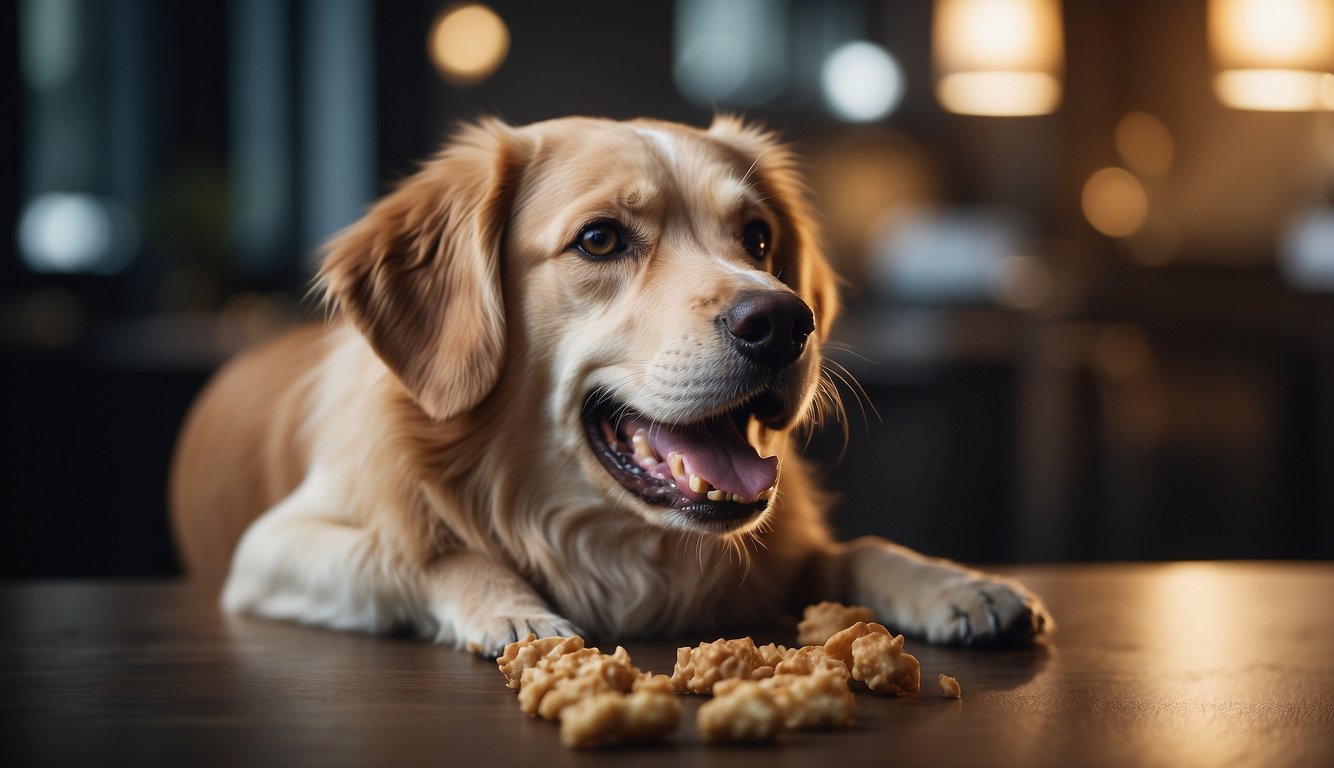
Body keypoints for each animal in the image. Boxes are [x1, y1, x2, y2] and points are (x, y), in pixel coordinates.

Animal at [172, 115, 1051, 653]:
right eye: (600, 240)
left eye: (758, 238)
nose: (783, 321)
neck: (608, 542)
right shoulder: (269, 551)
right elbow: (420, 551)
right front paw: (516, 611)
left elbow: (857, 548)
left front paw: (955, 585)